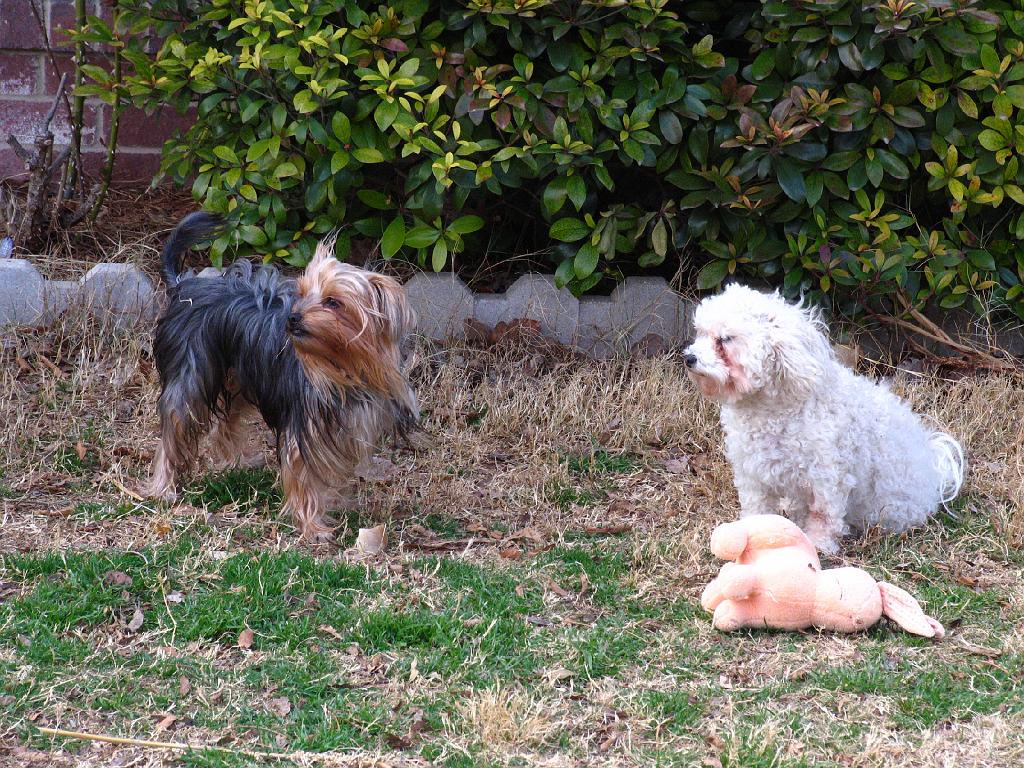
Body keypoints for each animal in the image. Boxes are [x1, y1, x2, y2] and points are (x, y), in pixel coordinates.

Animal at [684, 282, 962, 552]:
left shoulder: (826, 475)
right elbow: (757, 507)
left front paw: (819, 544)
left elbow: (823, 514)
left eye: (725, 339)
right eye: (700, 333)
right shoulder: (753, 472)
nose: (688, 358)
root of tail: (934, 474)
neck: (769, 408)